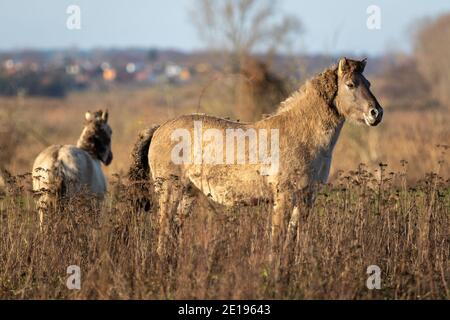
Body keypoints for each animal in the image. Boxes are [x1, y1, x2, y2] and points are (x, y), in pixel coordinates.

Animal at [129, 57, 384, 258]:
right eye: (350, 84)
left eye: (368, 83)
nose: (376, 113)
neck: (302, 134)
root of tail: (159, 128)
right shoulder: (285, 195)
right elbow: (277, 239)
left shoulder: (307, 197)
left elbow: (296, 238)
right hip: (170, 191)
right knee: (163, 233)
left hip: (188, 194)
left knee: (174, 231)